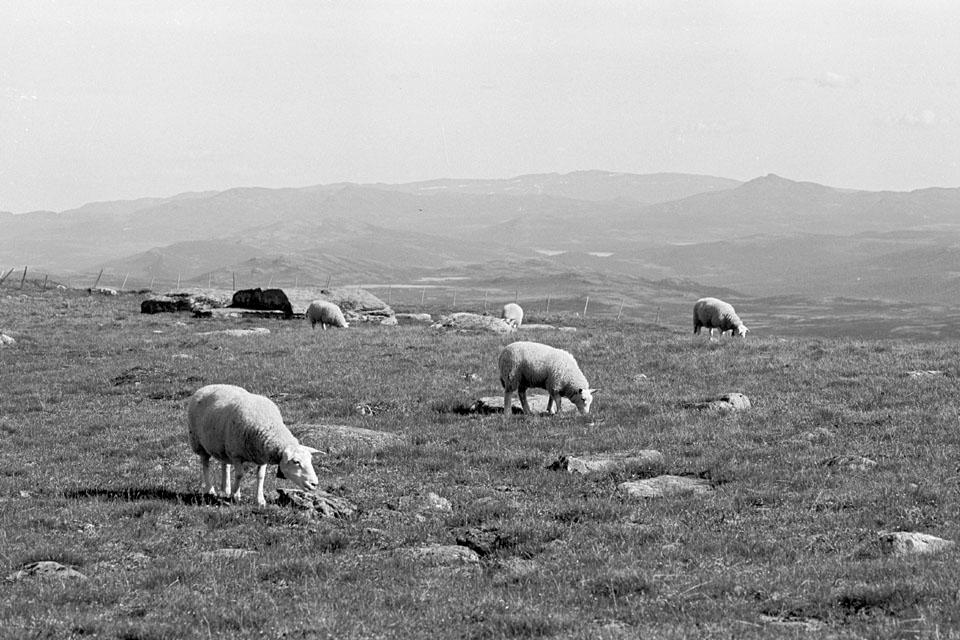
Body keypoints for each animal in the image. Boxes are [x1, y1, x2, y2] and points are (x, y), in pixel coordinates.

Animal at [186, 382, 320, 508]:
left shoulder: (262, 455)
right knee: (205, 464)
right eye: (296, 462)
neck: (268, 425)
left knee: (225, 464)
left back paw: (226, 488)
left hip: (223, 445)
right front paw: (235, 494)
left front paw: (260, 500)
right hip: (198, 443)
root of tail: (207, 386)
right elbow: (239, 474)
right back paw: (210, 489)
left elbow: (261, 476)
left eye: (310, 460)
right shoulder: (236, 454)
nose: (314, 484)